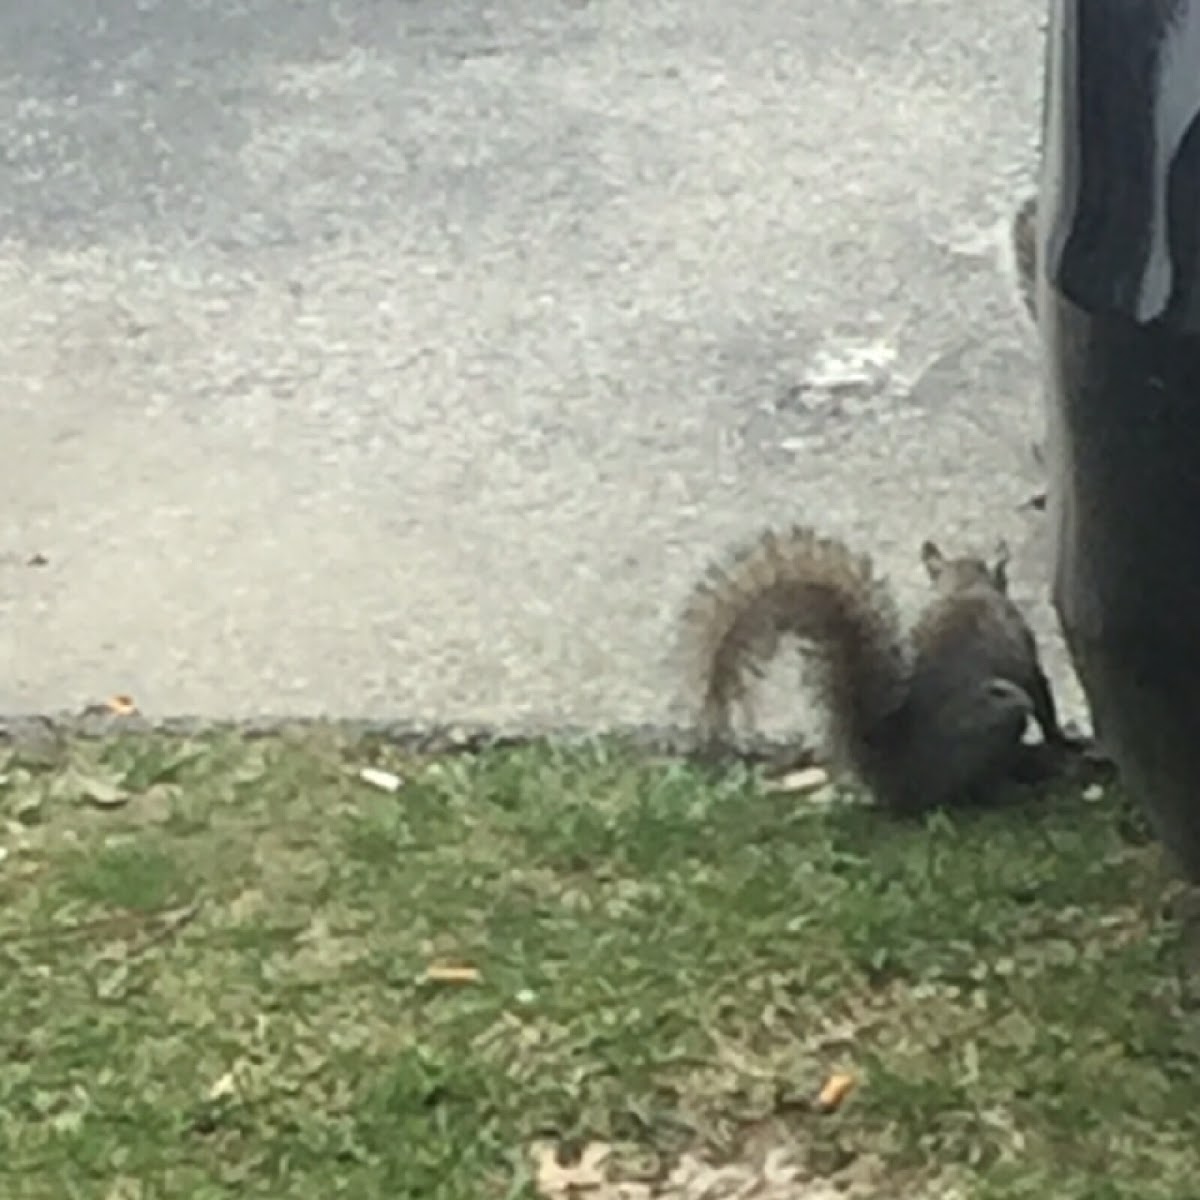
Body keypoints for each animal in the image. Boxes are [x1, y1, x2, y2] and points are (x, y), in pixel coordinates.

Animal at [681, 528, 1075, 816]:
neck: (964, 588)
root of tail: (896, 777)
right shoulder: (1027, 657)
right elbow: (1043, 698)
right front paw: (1063, 739)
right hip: (1000, 711)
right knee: (977, 788)